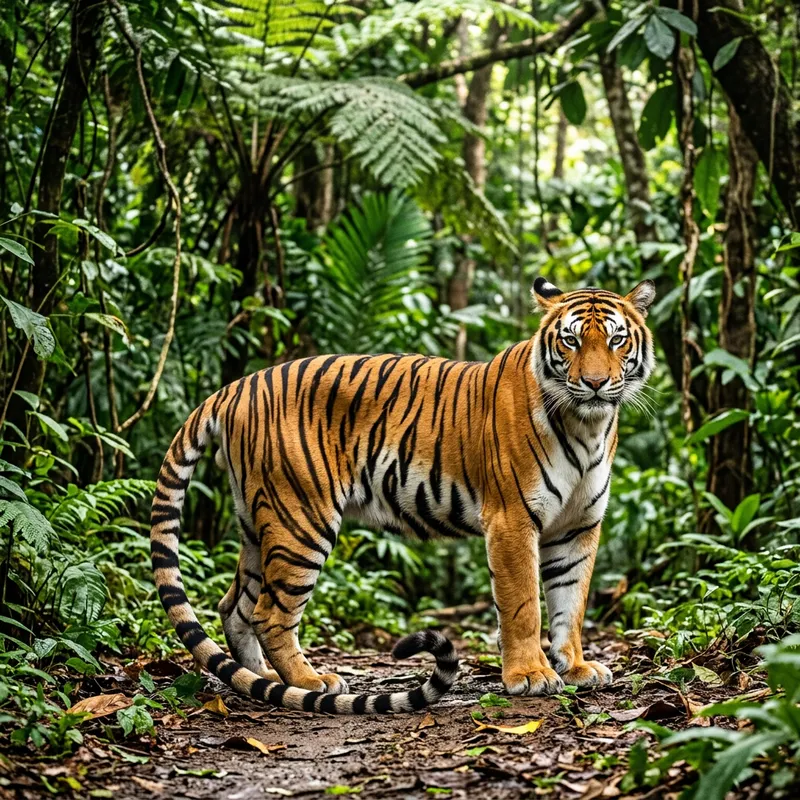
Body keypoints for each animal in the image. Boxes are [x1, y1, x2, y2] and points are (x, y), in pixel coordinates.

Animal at [150, 278, 656, 714]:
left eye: (616, 340)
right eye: (570, 341)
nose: (594, 383)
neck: (587, 426)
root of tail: (236, 386)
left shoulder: (577, 526)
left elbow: (571, 602)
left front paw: (576, 667)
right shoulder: (512, 519)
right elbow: (523, 605)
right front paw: (530, 675)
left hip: (259, 524)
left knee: (235, 606)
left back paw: (262, 681)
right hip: (300, 519)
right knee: (270, 614)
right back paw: (310, 682)